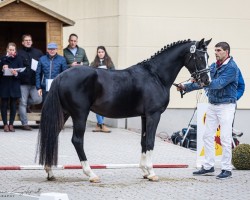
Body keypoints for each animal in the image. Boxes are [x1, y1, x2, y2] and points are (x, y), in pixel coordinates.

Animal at [37, 38, 212, 183]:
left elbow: (143, 141)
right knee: (77, 140)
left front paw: (144, 171)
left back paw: (50, 172)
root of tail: (60, 76)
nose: (207, 81)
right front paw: (151, 172)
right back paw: (91, 174)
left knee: (53, 134)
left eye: (208, 56)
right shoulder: (153, 115)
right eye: (199, 57)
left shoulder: (144, 116)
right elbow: (150, 141)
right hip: (80, 114)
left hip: (65, 113)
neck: (155, 76)